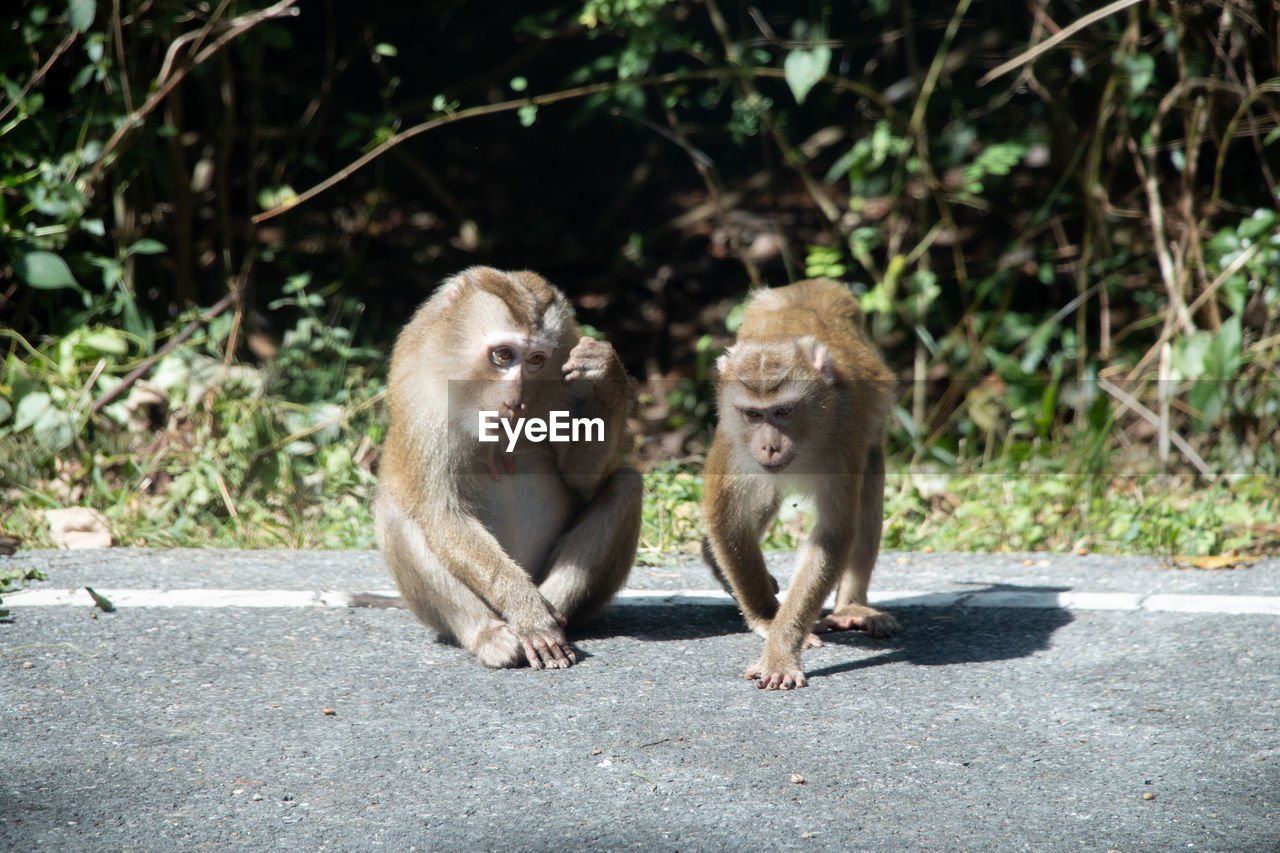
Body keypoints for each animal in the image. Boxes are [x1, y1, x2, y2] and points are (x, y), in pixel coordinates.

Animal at [373, 268, 645, 666]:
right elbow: (443, 515)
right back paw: (494, 634)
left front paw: (607, 373)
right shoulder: (426, 402)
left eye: (536, 359)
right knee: (393, 510)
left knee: (626, 484)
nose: (515, 398)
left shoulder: (572, 387)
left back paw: (555, 615)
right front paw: (526, 612)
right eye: (503, 354)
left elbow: (583, 483)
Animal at [701, 275, 901, 686]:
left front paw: (781, 648)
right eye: (753, 414)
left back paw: (851, 607)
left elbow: (833, 533)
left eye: (783, 411)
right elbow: (725, 516)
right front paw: (766, 617)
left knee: (869, 483)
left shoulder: (845, 428)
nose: (769, 446)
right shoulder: (731, 431)